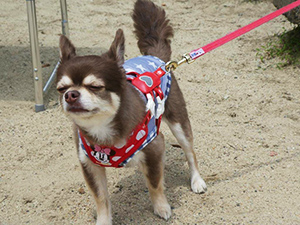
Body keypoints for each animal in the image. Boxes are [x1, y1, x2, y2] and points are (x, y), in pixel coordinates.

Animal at [55, 0, 206, 223]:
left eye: (95, 87)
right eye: (61, 89)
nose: (70, 95)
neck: (103, 129)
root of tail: (156, 58)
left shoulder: (155, 147)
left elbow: (154, 184)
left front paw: (161, 207)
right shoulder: (89, 164)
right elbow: (101, 198)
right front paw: (103, 220)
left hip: (178, 121)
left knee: (190, 152)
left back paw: (197, 180)